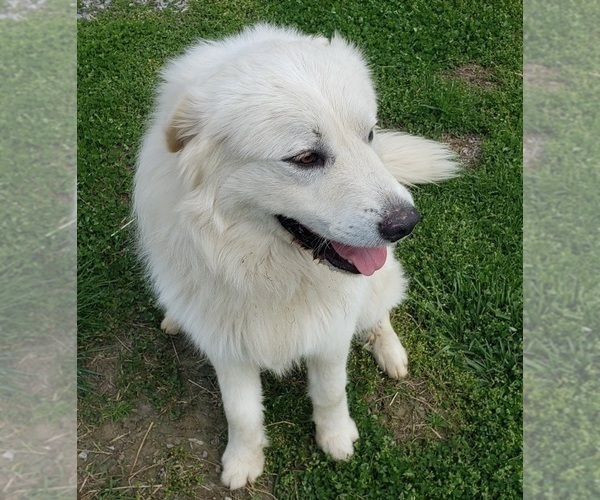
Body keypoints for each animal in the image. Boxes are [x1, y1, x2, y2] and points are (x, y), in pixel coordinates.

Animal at [134, 23, 458, 488]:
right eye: (305, 157)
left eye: (369, 135)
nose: (406, 223)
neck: (270, 271)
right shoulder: (227, 345)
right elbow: (241, 412)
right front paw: (243, 461)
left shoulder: (331, 334)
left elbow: (331, 392)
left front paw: (336, 438)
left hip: (377, 288)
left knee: (381, 312)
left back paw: (391, 354)